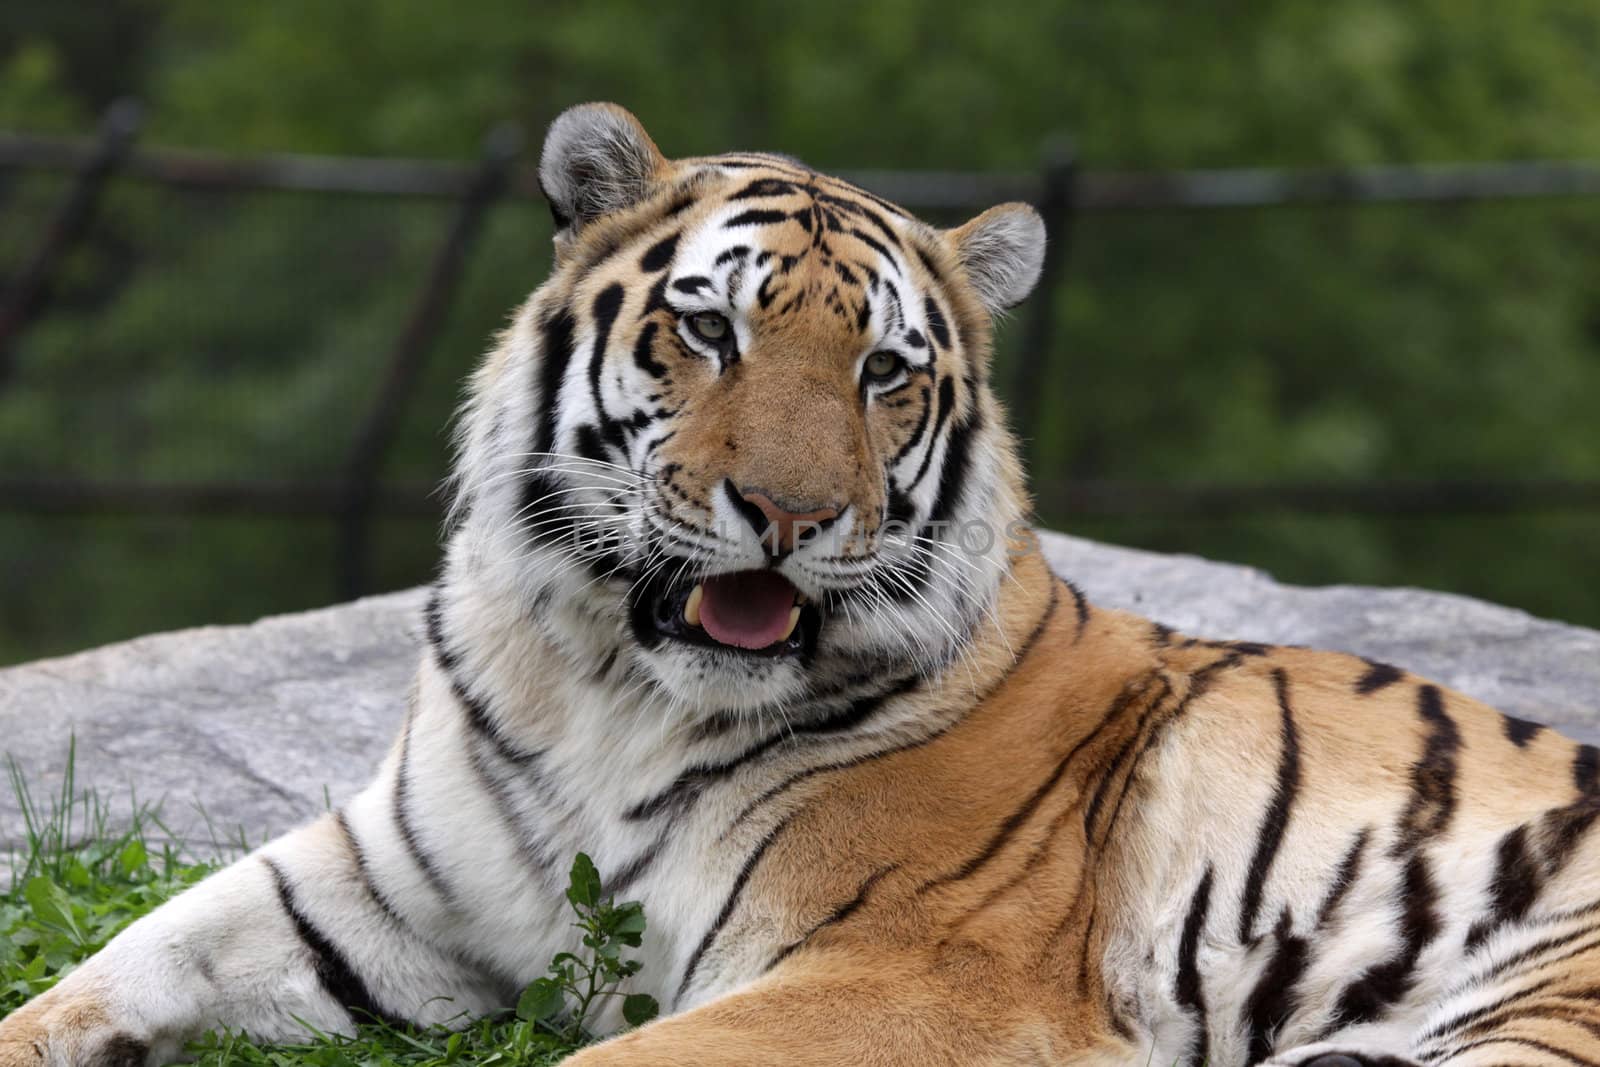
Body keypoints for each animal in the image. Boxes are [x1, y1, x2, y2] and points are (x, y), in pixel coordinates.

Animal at [3, 102, 1600, 1067]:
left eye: (884, 371)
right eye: (709, 328)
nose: (791, 511)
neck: (613, 690)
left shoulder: (907, 972)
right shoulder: (374, 889)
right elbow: (125, 960)